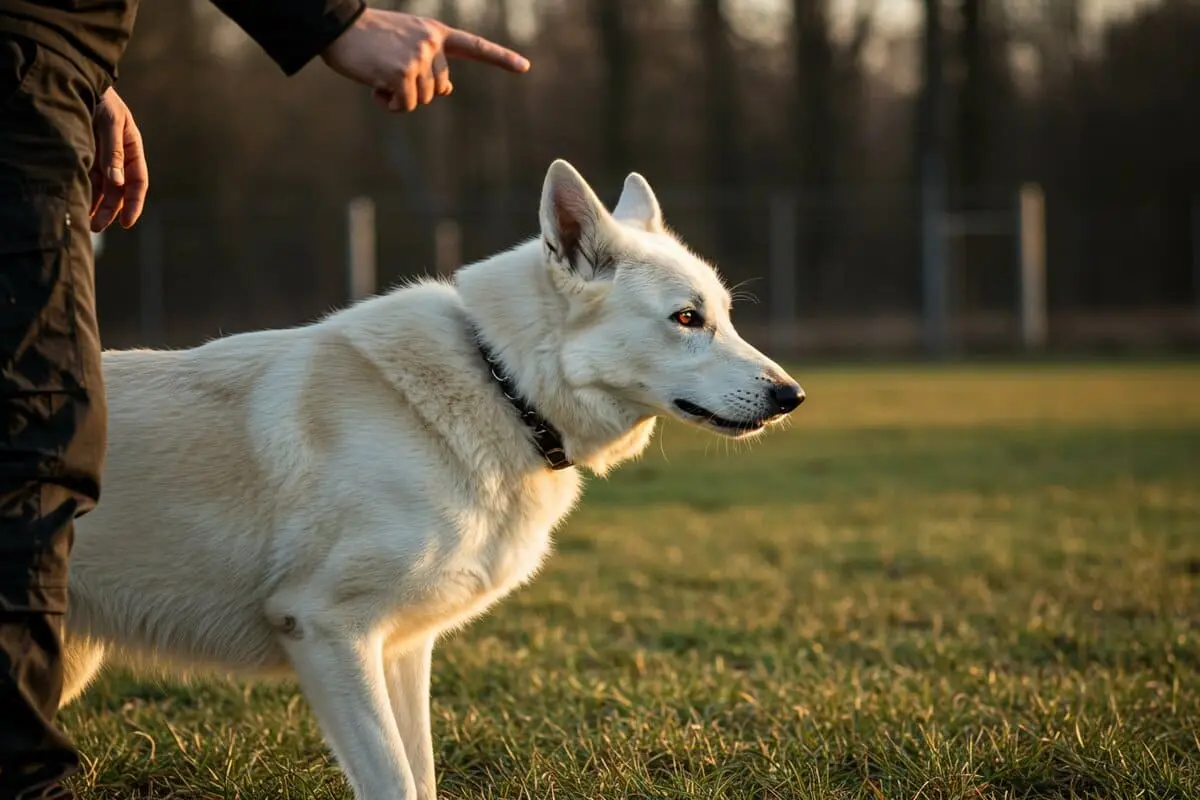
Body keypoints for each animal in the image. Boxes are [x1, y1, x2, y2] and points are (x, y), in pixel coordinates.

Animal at [58, 159, 806, 796]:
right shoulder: (327, 630)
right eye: (686, 319)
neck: (502, 384)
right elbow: (392, 780)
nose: (793, 396)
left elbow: (420, 780)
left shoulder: (402, 649)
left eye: (724, 316)